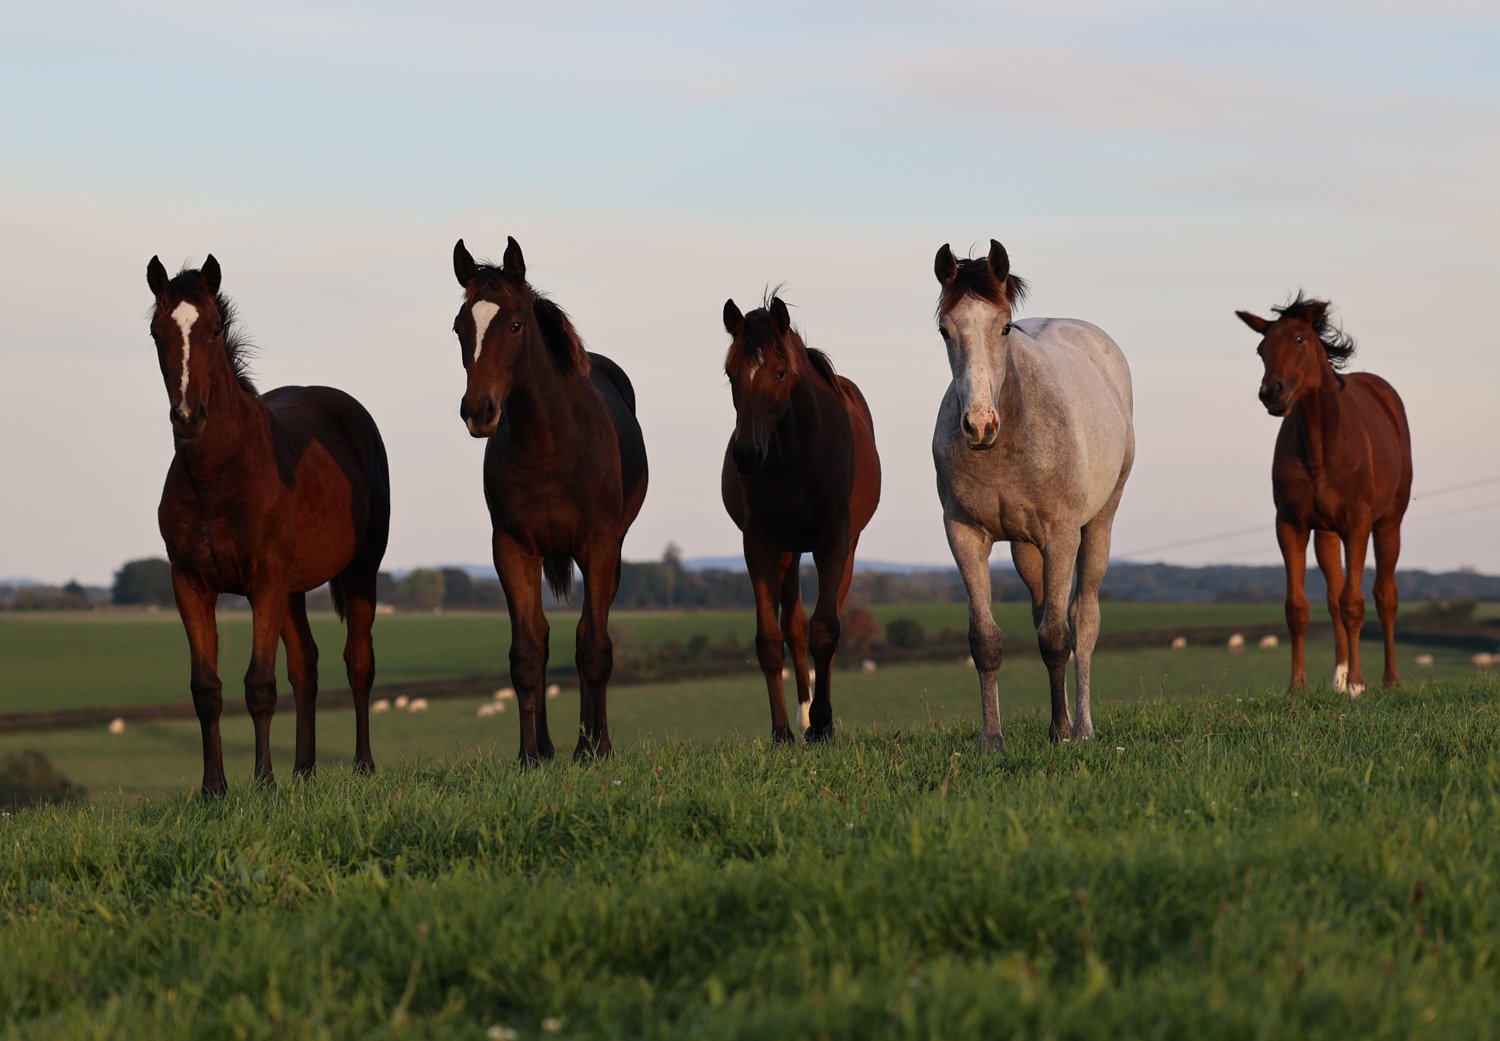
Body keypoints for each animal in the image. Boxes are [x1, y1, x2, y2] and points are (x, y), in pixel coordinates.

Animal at [146, 254, 391, 797]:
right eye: (156, 332)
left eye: (215, 328)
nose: (188, 417)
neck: (218, 478)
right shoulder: (189, 583)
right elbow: (207, 688)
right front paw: (214, 789)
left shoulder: (263, 581)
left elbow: (259, 684)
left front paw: (264, 784)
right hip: (293, 590)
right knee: (306, 665)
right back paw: (304, 770)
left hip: (358, 571)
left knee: (359, 661)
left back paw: (363, 765)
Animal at [451, 237, 648, 763]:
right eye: (460, 327)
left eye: (516, 324)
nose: (478, 411)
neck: (549, 445)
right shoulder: (513, 546)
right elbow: (527, 651)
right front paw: (530, 756)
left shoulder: (599, 546)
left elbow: (594, 647)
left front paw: (595, 749)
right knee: (540, 635)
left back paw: (589, 742)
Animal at [720, 293, 881, 743]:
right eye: (730, 373)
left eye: (778, 372)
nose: (746, 454)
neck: (795, 453)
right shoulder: (760, 543)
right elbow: (771, 639)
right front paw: (781, 732)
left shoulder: (834, 541)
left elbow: (825, 630)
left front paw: (823, 725)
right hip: (788, 552)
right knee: (793, 626)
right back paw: (803, 715)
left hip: (843, 549)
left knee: (825, 625)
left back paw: (818, 718)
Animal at [932, 239, 1134, 751]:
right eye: (944, 329)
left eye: (1004, 327)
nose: (979, 424)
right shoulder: (965, 535)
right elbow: (986, 640)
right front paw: (992, 741)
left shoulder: (1061, 535)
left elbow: (1058, 637)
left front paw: (1064, 734)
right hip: (1027, 548)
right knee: (1045, 608)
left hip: (1098, 524)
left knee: (1082, 620)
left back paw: (1081, 726)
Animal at [1236, 293, 1412, 695]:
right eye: (1261, 349)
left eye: (1300, 339)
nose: (1272, 393)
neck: (1322, 448)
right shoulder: (1291, 525)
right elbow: (1298, 607)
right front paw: (1297, 685)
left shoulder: (1358, 525)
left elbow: (1355, 603)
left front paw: (1358, 686)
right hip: (1327, 534)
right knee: (1333, 599)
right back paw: (1338, 677)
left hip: (1388, 523)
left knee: (1385, 596)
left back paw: (1390, 680)